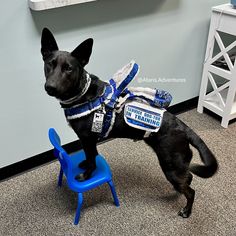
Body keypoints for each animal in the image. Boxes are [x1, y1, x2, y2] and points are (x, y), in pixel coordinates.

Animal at [41, 27, 218, 218]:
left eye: (68, 69)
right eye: (49, 64)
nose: (50, 87)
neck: (83, 93)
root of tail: (184, 128)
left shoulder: (87, 139)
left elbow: (92, 159)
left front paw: (87, 174)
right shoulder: (89, 141)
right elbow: (91, 157)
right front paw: (85, 164)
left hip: (170, 165)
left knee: (191, 191)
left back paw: (187, 210)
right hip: (176, 167)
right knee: (188, 178)